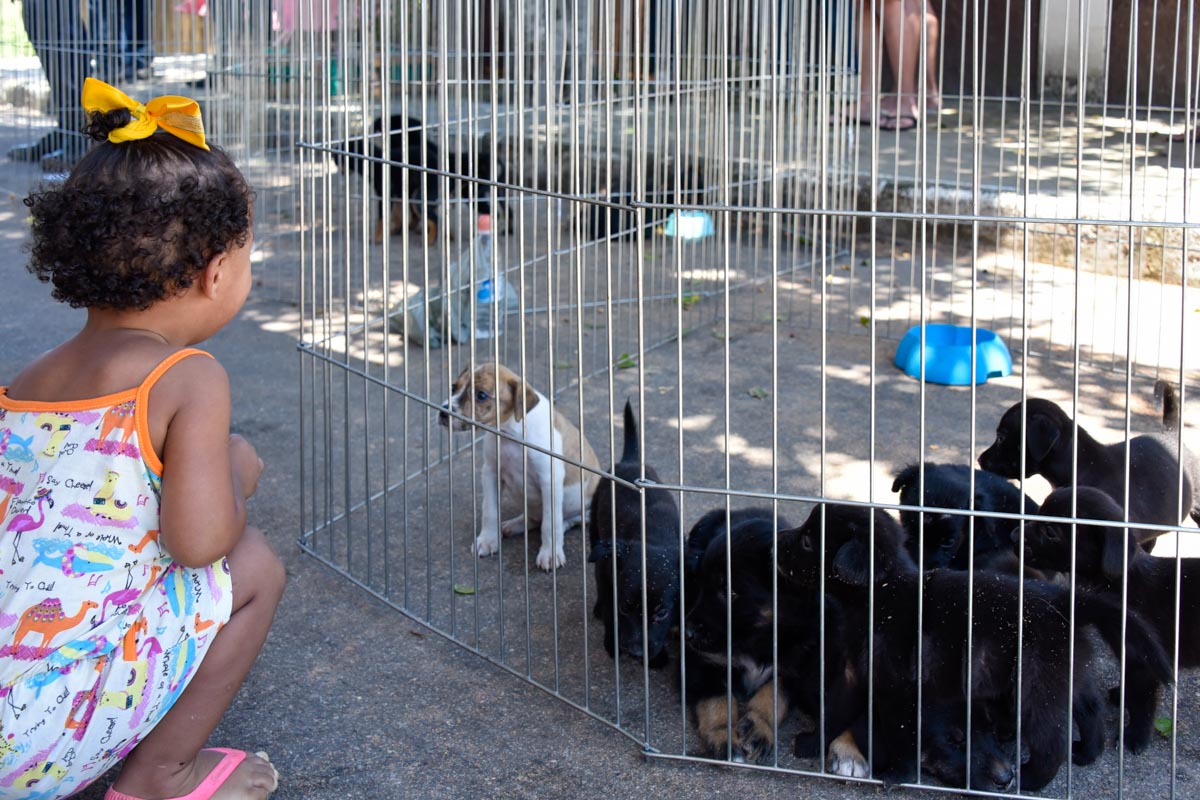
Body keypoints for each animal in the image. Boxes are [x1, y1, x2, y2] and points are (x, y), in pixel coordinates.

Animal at [441, 362, 600, 568]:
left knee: (567, 520)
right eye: (454, 387)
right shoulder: (490, 472)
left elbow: (551, 523)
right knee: (533, 518)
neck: (510, 433)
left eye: (481, 395)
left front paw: (550, 553)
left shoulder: (550, 480)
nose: (443, 412)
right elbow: (489, 510)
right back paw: (512, 525)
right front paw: (487, 540)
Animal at [588, 400, 681, 671]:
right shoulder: (606, 575)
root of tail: (629, 460)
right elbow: (611, 612)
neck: (651, 537)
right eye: (626, 608)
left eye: (662, 613)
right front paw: (612, 645)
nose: (637, 653)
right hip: (594, 529)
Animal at [1022, 484, 1200, 753]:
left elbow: (1142, 705)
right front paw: (1121, 696)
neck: (1125, 583)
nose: (1014, 533)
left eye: (1051, 531)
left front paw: (1135, 737)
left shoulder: (1143, 662)